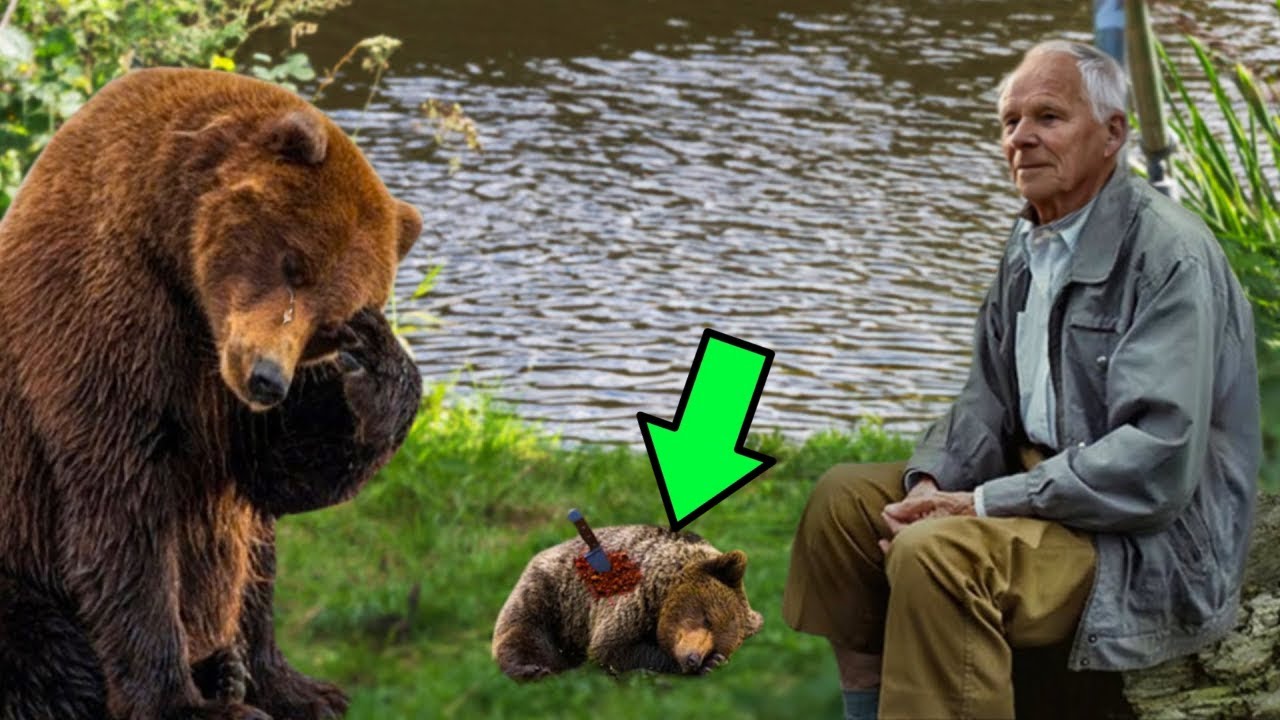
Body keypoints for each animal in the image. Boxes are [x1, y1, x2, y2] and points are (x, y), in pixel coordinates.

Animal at [0, 67, 424, 720]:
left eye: (331, 325)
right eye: (292, 264)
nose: (267, 378)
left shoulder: (229, 395)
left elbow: (280, 474)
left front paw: (379, 364)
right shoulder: (96, 319)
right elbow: (125, 508)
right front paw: (178, 700)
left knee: (254, 573)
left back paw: (282, 682)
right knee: (37, 641)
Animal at [492, 525, 764, 680]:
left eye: (721, 645)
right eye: (707, 618)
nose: (693, 659)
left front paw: (712, 663)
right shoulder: (632, 602)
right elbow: (612, 647)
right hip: (553, 596)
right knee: (525, 630)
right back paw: (531, 669)